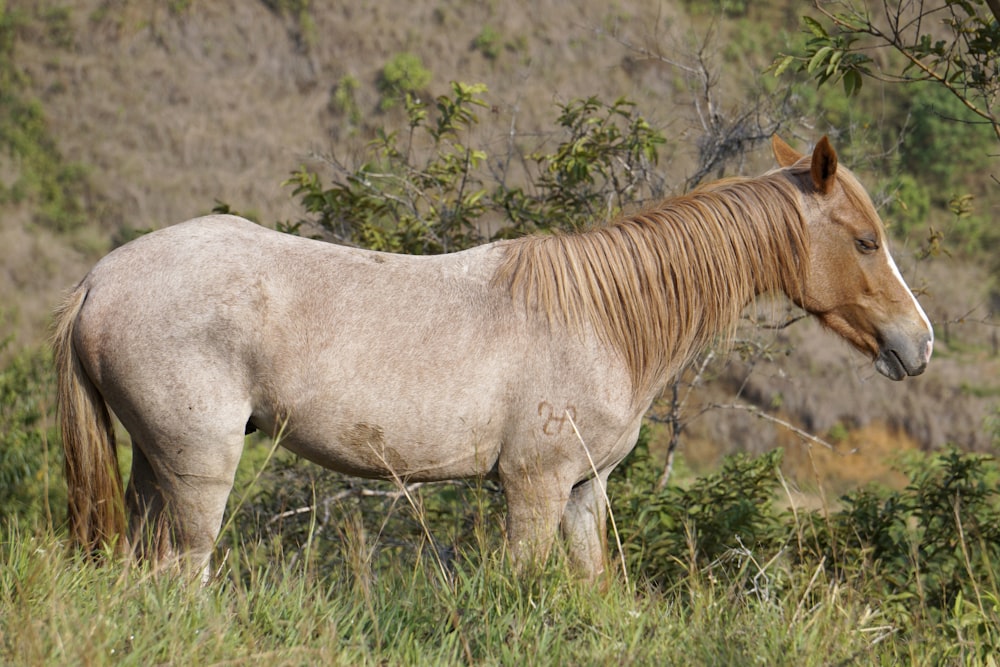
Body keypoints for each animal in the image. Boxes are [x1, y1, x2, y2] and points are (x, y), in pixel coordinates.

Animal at [52, 136, 928, 580]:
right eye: (865, 240)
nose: (918, 343)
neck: (603, 317)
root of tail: (101, 278)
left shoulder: (582, 493)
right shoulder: (533, 487)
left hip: (154, 466)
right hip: (199, 468)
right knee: (183, 571)